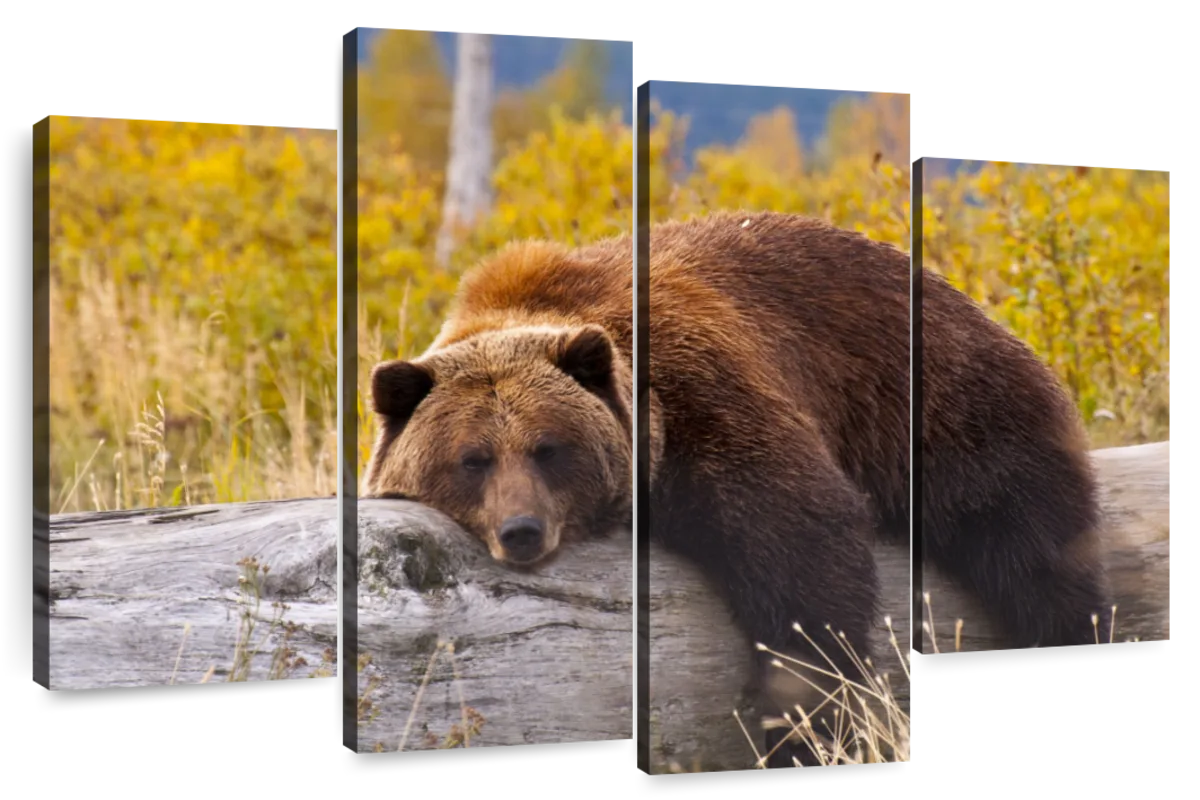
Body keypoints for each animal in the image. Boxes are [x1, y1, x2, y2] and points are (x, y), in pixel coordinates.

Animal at [362, 210, 1113, 768]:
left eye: (549, 449)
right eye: (473, 459)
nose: (521, 531)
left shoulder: (702, 392)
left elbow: (801, 546)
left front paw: (798, 719)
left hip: (945, 407)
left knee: (1032, 546)